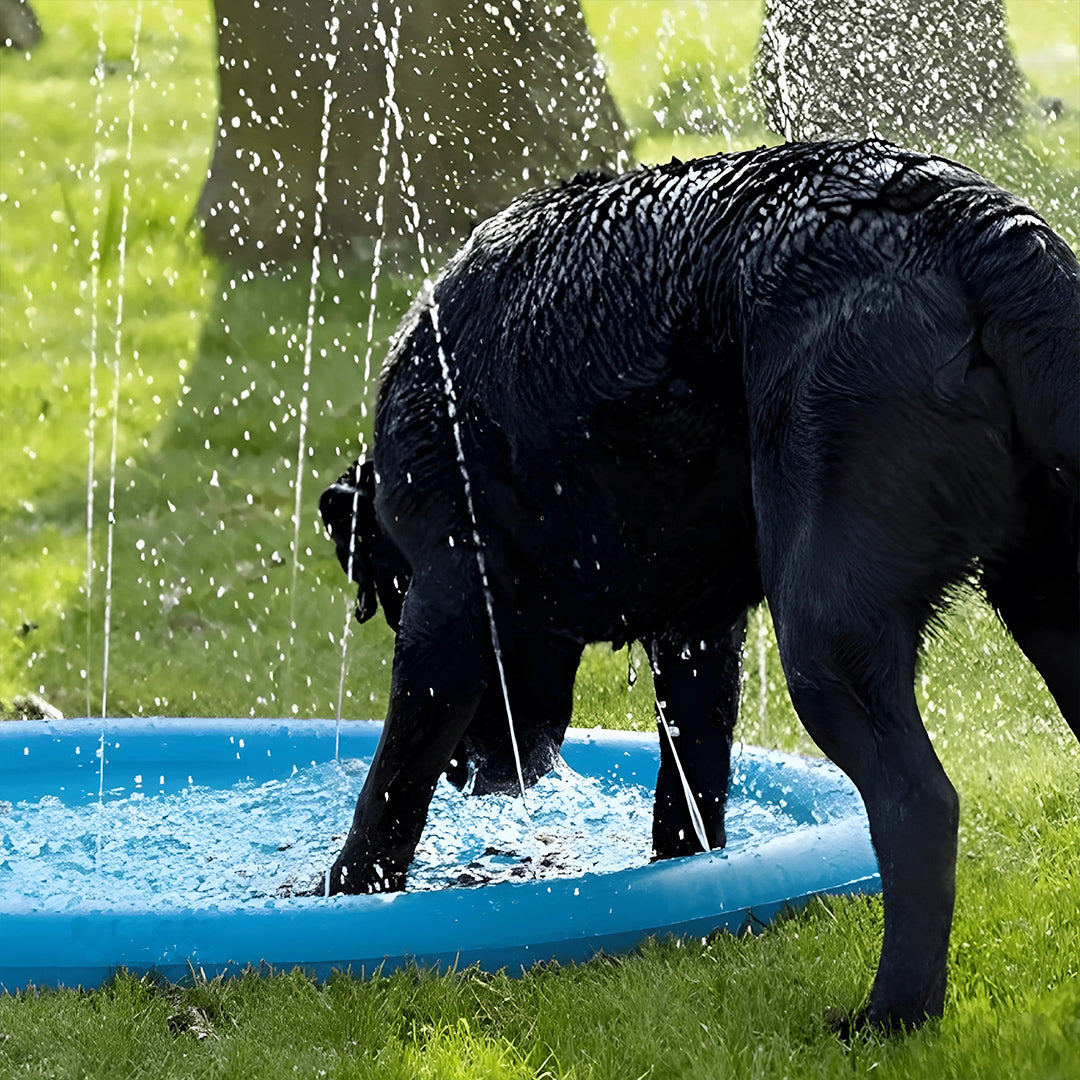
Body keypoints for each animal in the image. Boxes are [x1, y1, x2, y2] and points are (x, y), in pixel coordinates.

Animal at [319, 139, 1080, 1032]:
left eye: (390, 596)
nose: (473, 775)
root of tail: (975, 224)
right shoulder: (698, 630)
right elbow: (691, 787)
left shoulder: (448, 604)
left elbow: (390, 788)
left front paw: (332, 896)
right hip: (1051, 598)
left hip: (827, 632)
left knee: (918, 804)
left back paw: (890, 1016)